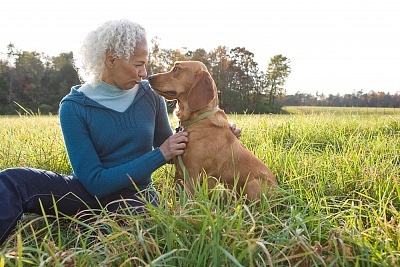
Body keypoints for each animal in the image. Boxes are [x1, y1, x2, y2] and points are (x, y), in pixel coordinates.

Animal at [148, 60, 278, 199]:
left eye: (176, 69)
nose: (149, 77)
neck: (196, 119)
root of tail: (279, 190)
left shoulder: (192, 174)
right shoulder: (179, 172)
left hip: (253, 184)